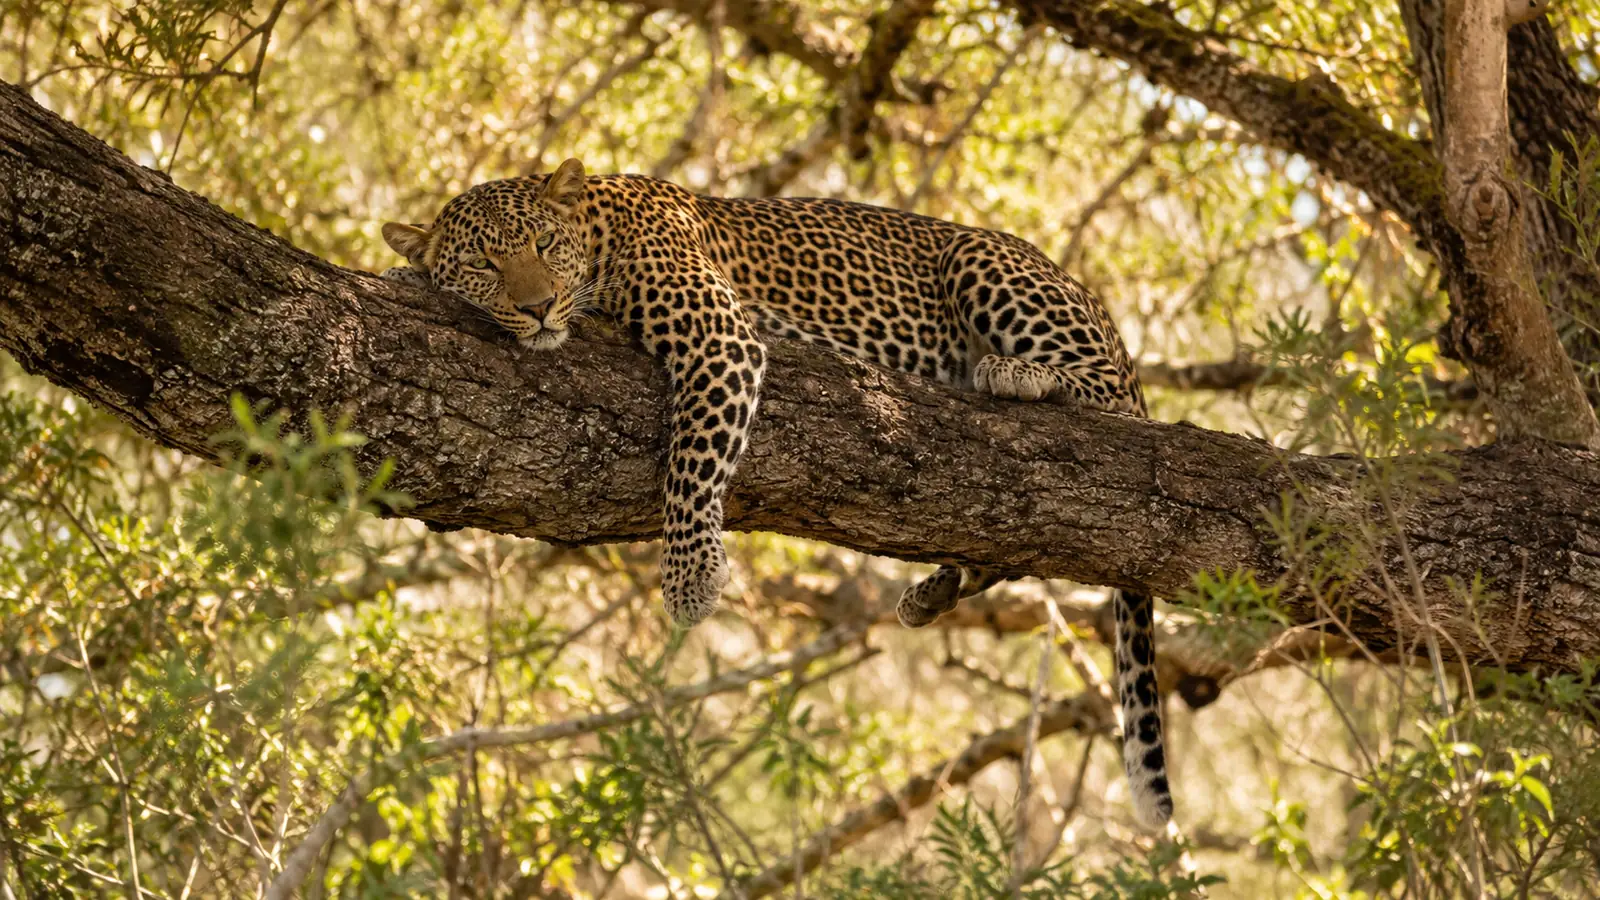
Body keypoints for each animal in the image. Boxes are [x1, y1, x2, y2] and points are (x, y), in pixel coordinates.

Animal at [380, 158, 1173, 827]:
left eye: (543, 244)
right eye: (484, 264)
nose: (541, 306)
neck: (597, 233)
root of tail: (1102, 309)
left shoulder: (719, 336)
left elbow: (693, 457)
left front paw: (690, 577)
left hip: (983, 263)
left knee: (1116, 403)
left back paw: (1019, 375)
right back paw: (936, 590)